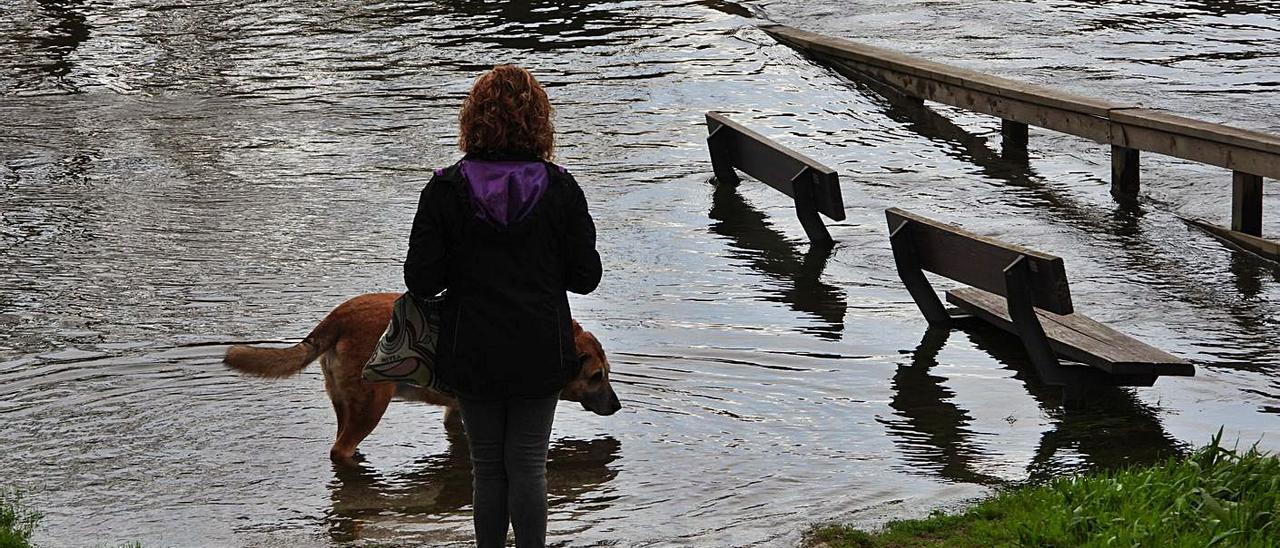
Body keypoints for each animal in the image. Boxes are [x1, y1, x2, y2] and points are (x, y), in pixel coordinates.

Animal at [224, 293, 619, 460]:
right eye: (596, 377)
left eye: (607, 374)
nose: (616, 407)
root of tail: (338, 317)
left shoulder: (458, 412)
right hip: (371, 405)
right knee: (340, 449)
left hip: (346, 404)